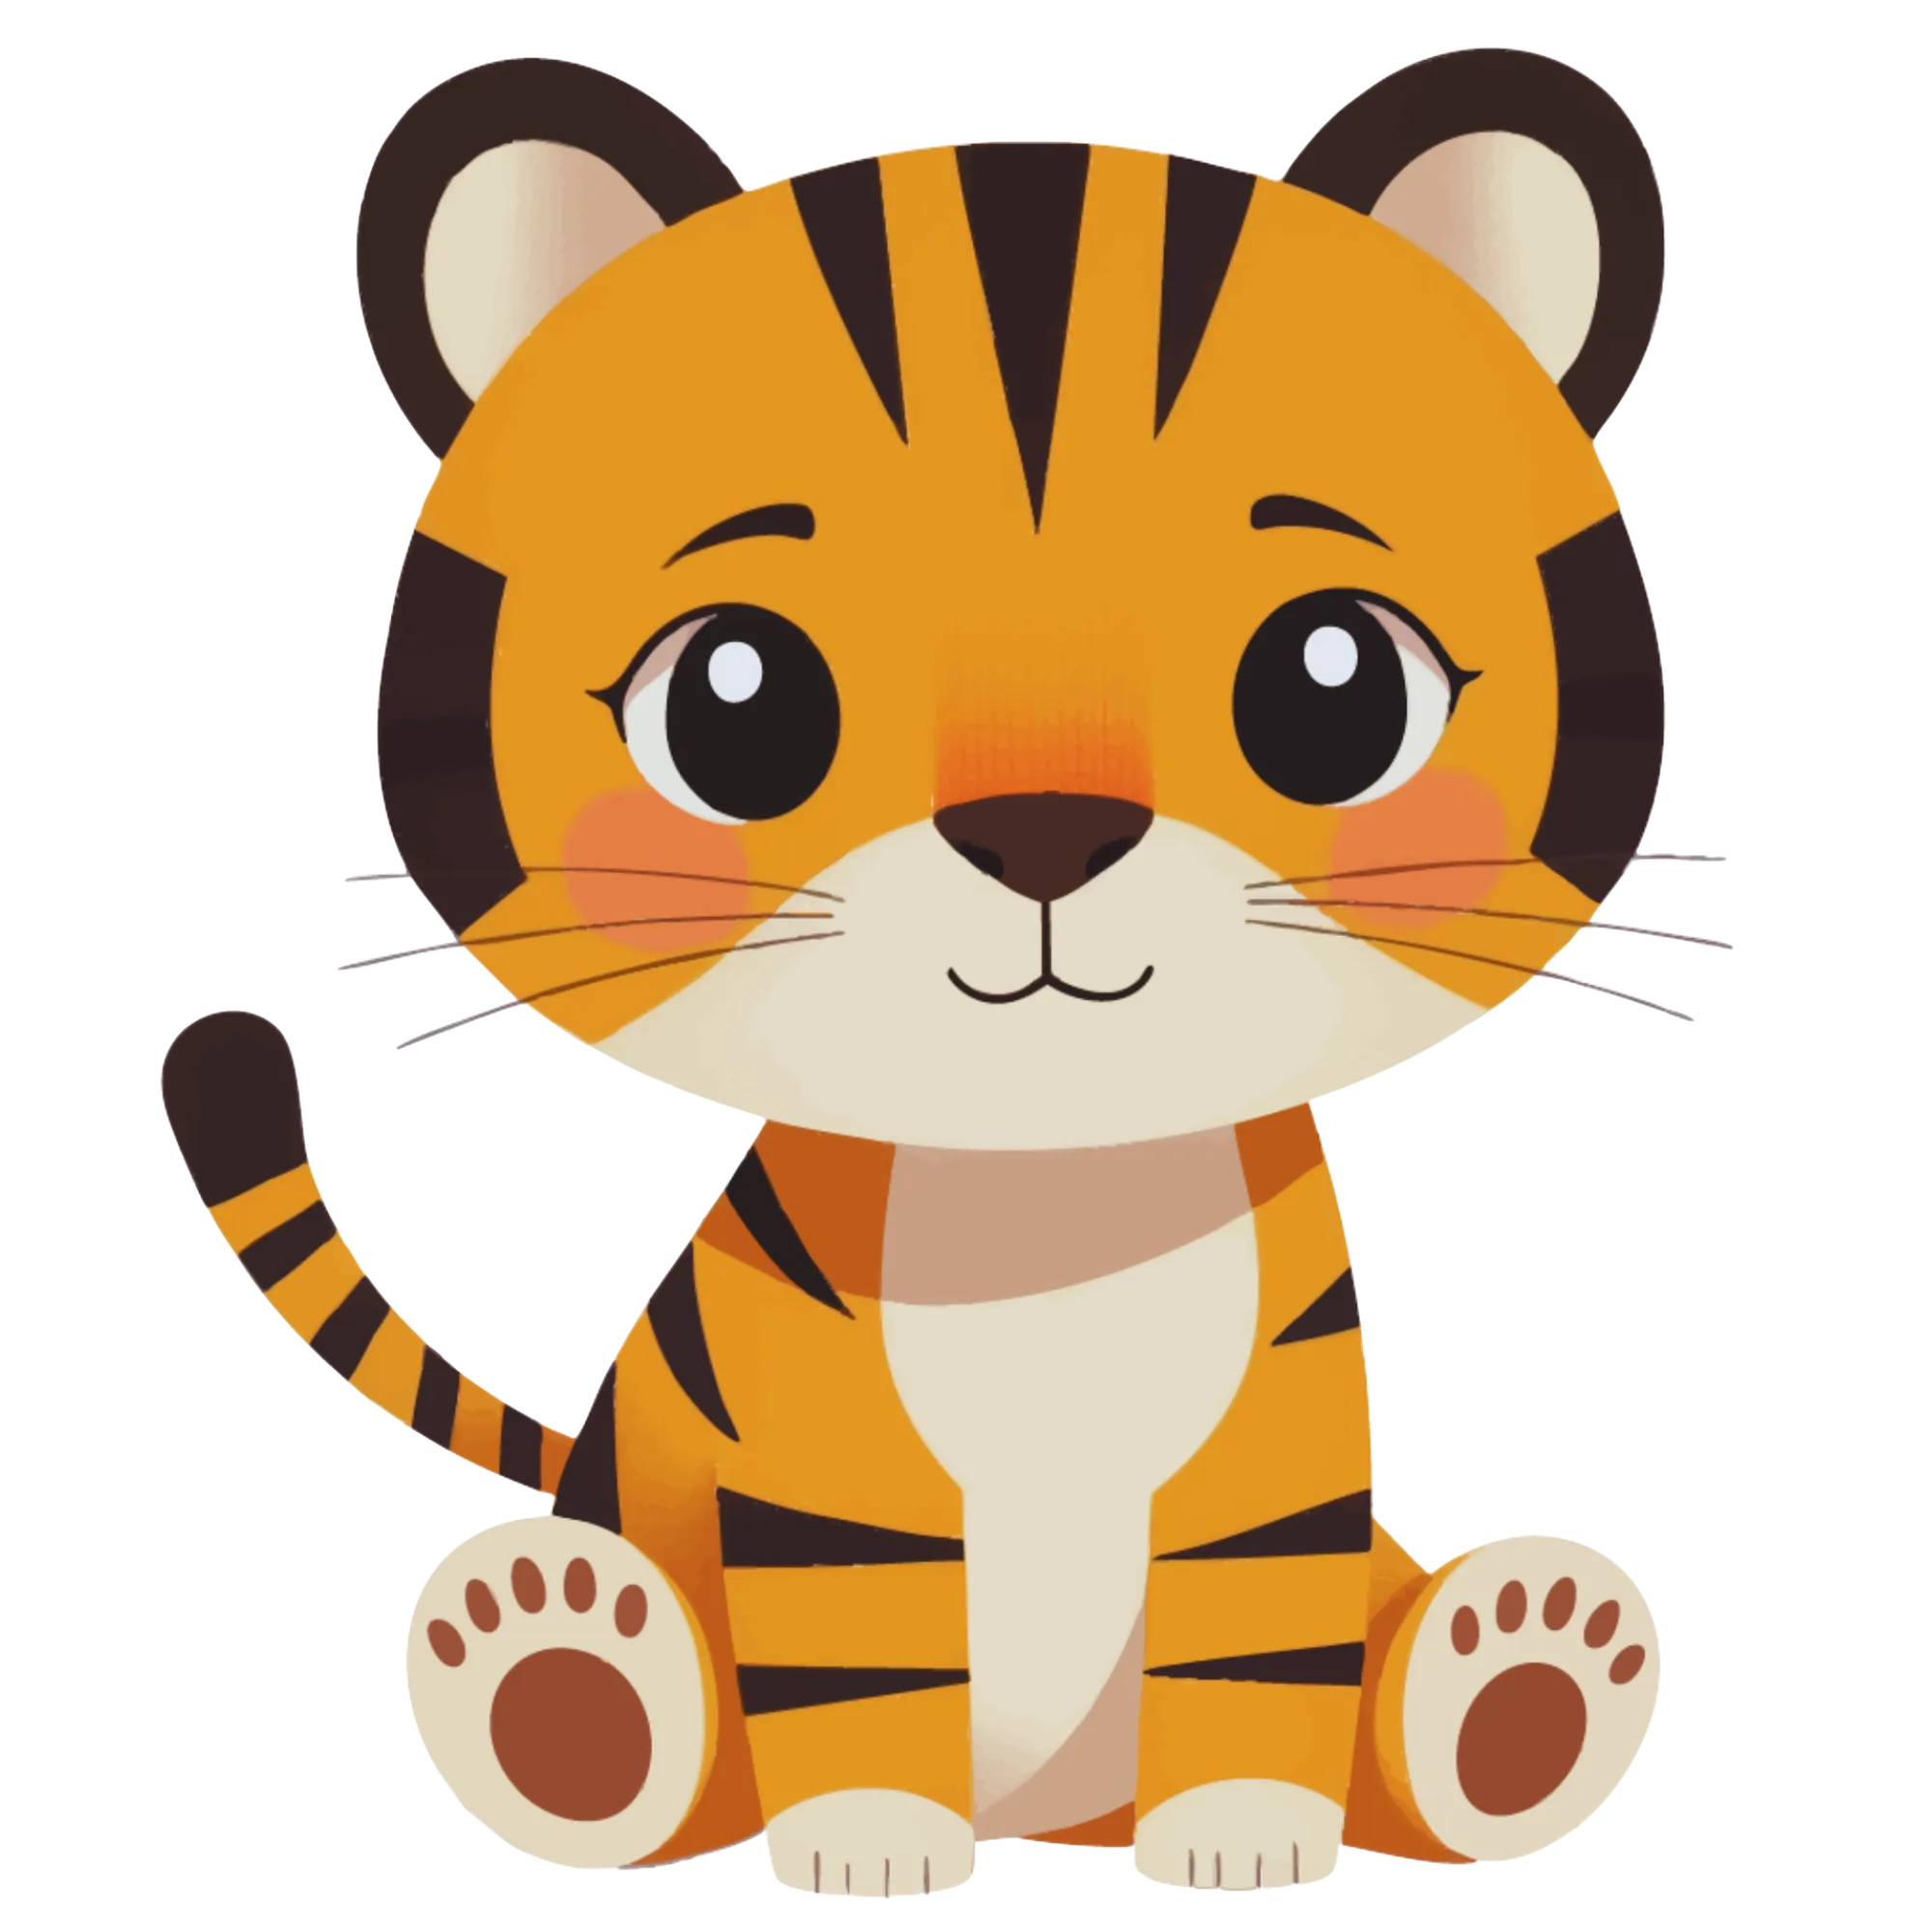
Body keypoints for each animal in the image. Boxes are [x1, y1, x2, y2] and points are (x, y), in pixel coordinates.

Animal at [159, 48, 1668, 1894]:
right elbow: (858, 1656)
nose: (1045, 836)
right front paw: (871, 1843)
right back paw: (561, 1675)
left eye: (1336, 688)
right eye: (732, 701)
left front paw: (1244, 1832)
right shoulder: (823, 1484)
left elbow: (1256, 1649)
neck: (1050, 1200)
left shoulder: (1276, 1475)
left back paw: (1518, 1676)